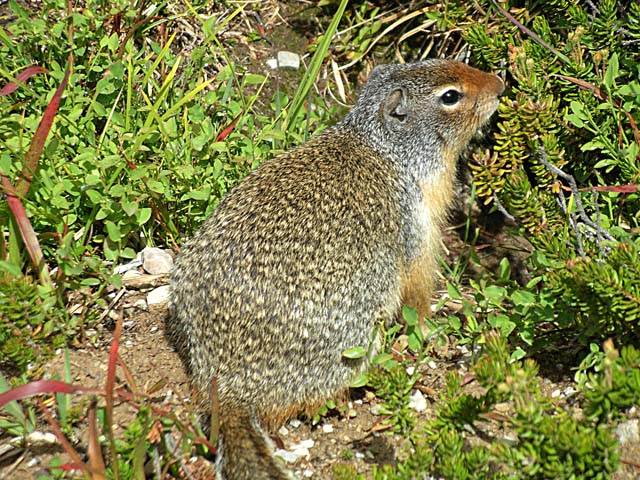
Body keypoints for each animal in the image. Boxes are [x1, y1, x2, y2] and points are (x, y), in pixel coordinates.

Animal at [169, 59, 504, 476]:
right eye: (450, 96)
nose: (500, 85)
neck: (388, 149)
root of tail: (229, 383)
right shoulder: (417, 227)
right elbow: (418, 292)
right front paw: (435, 329)